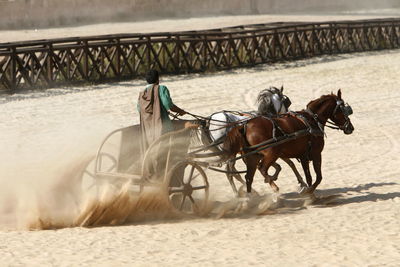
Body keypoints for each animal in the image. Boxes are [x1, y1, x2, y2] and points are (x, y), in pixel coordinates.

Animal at [225, 90, 354, 195]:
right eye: (343, 109)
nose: (350, 128)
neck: (312, 120)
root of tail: (244, 125)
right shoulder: (316, 154)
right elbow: (318, 178)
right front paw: (308, 192)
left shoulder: (303, 156)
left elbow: (309, 177)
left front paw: (307, 190)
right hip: (271, 153)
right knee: (261, 169)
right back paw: (273, 186)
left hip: (253, 157)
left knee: (248, 177)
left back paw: (251, 199)